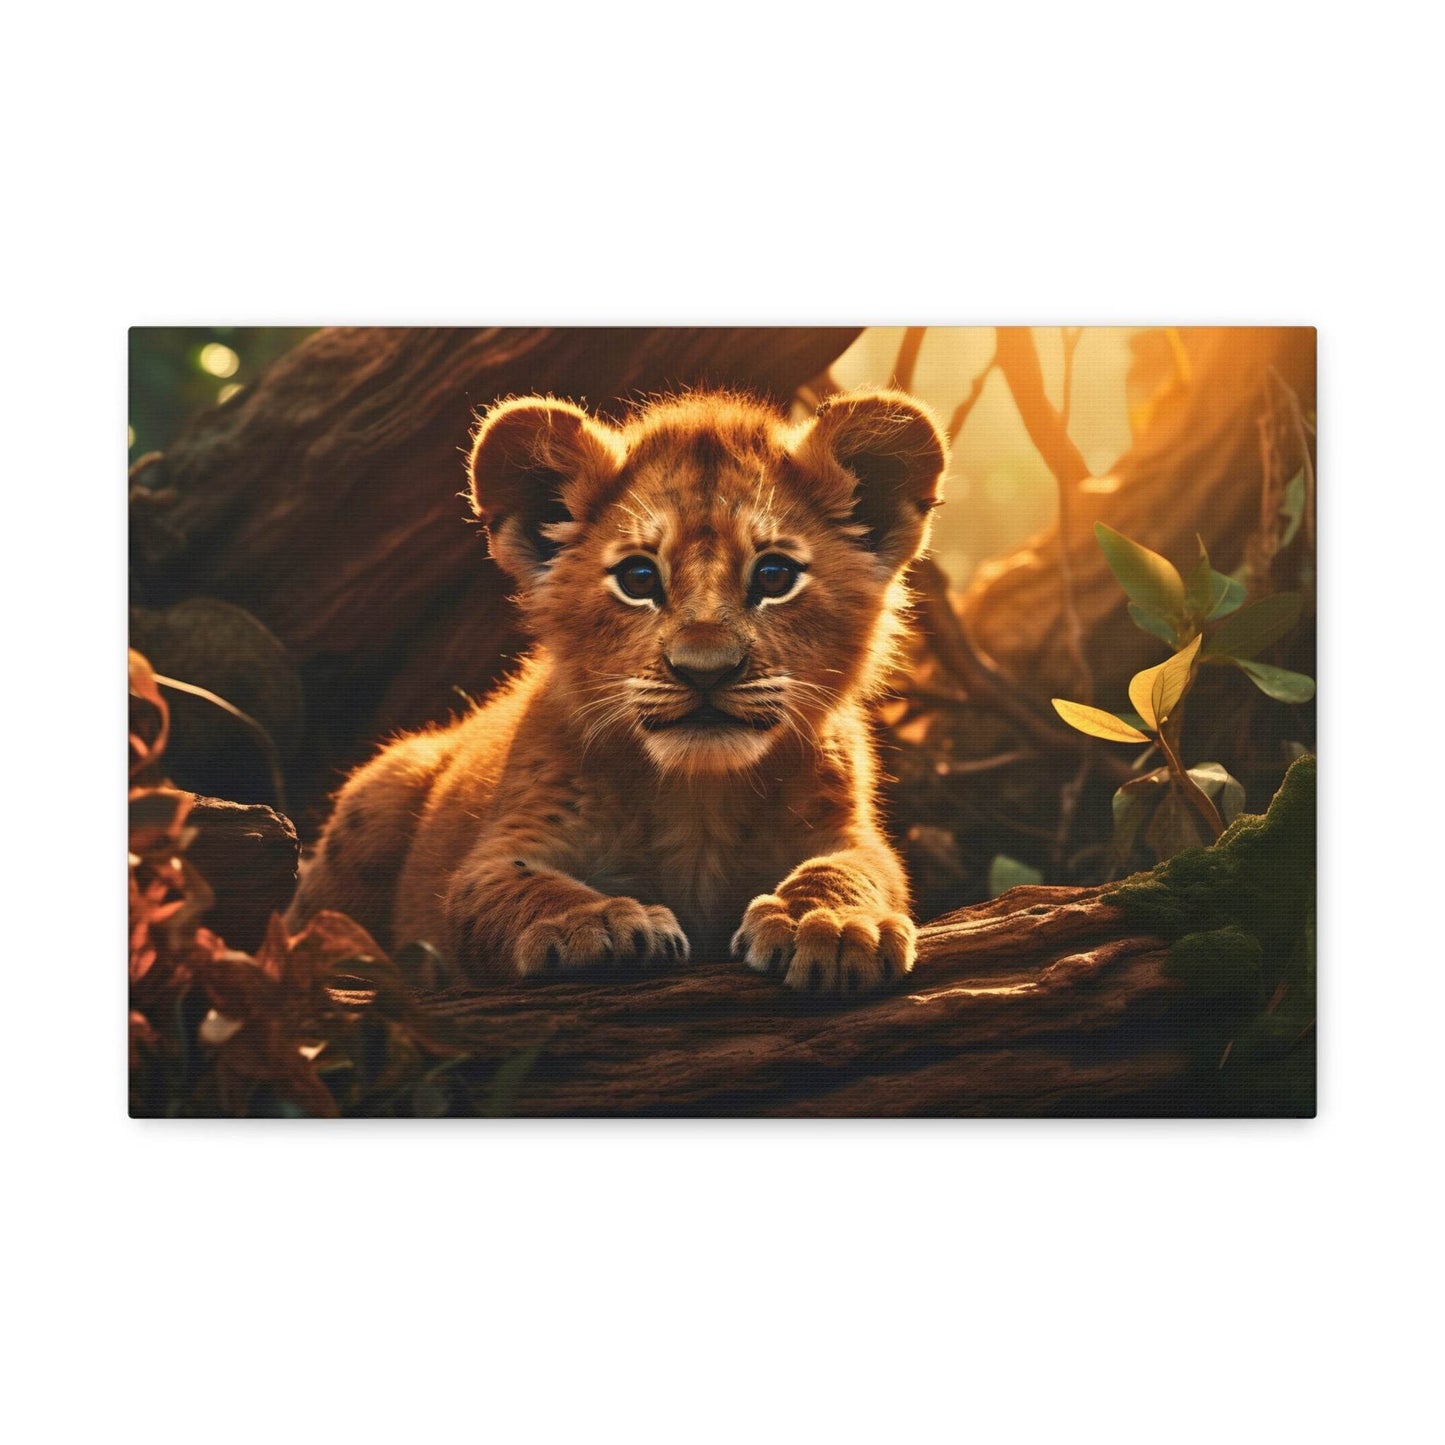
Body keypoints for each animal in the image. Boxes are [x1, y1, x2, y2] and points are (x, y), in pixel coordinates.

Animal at [286, 387, 948, 993]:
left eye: (774, 575)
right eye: (638, 578)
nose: (705, 670)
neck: (699, 798)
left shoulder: (849, 832)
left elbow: (851, 869)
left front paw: (830, 924)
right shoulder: (500, 849)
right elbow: (521, 887)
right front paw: (596, 923)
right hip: (381, 791)